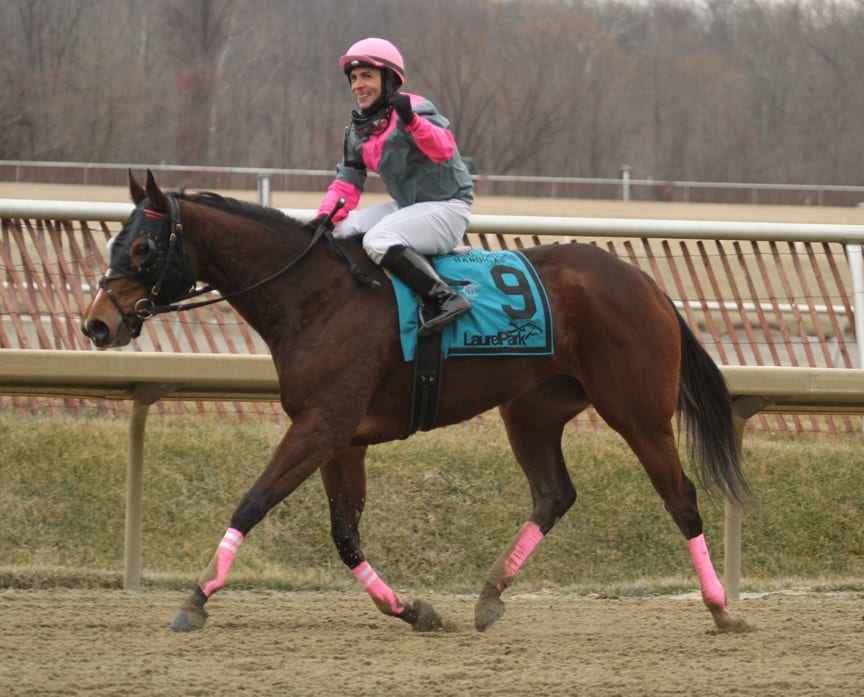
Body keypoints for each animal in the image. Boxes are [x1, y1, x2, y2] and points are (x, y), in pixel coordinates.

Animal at [84, 171, 752, 632]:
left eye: (143, 248)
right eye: (115, 241)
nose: (96, 325)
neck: (314, 295)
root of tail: (647, 283)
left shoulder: (321, 425)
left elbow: (253, 502)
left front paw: (196, 599)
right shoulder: (341, 437)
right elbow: (345, 535)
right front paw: (411, 609)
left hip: (637, 412)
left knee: (681, 498)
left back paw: (721, 608)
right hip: (530, 411)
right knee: (554, 494)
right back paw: (489, 596)